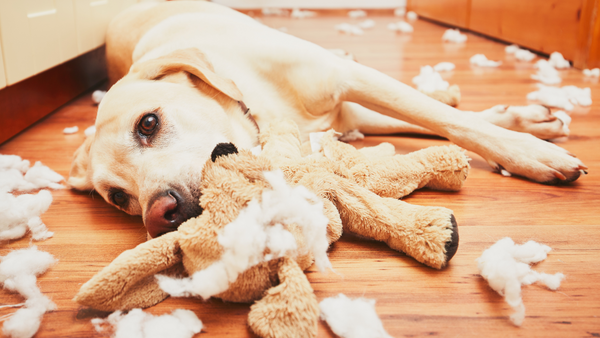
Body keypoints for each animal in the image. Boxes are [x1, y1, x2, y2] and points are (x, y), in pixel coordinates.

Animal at [67, 0, 584, 238]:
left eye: (148, 124)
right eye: (118, 198)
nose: (160, 214)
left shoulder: (349, 82)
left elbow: (450, 120)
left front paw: (530, 153)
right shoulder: (347, 110)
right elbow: (434, 121)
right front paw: (526, 128)